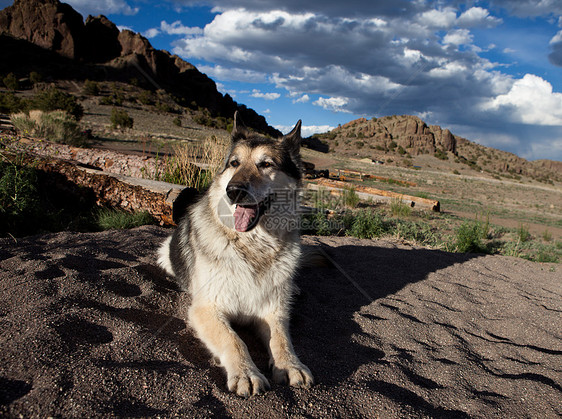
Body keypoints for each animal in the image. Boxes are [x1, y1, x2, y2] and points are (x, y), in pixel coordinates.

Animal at [158, 110, 312, 398]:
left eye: (266, 164)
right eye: (234, 163)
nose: (234, 191)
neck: (252, 246)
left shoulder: (273, 311)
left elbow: (282, 339)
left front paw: (290, 365)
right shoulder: (206, 309)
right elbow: (234, 339)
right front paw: (246, 372)